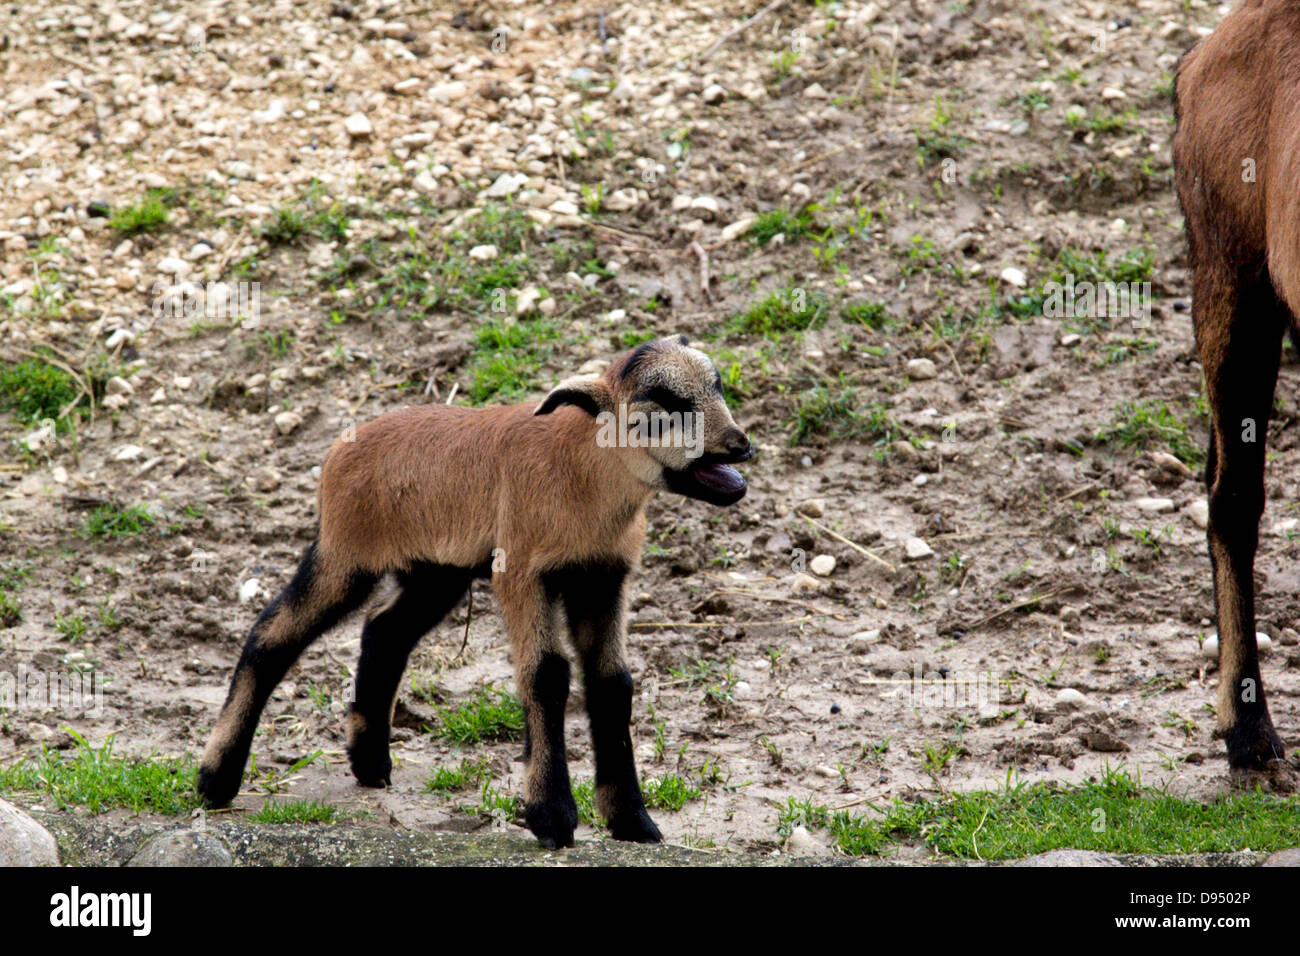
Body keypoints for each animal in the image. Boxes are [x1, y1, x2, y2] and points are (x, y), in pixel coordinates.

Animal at [197, 335, 759, 842]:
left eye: (716, 386)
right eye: (663, 406)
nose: (739, 446)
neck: (585, 477)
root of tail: (340, 448)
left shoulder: (603, 577)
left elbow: (612, 682)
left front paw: (633, 822)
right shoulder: (523, 572)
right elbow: (547, 676)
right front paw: (552, 817)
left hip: (435, 571)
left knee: (384, 631)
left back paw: (370, 765)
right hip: (346, 553)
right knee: (272, 634)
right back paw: (215, 780)